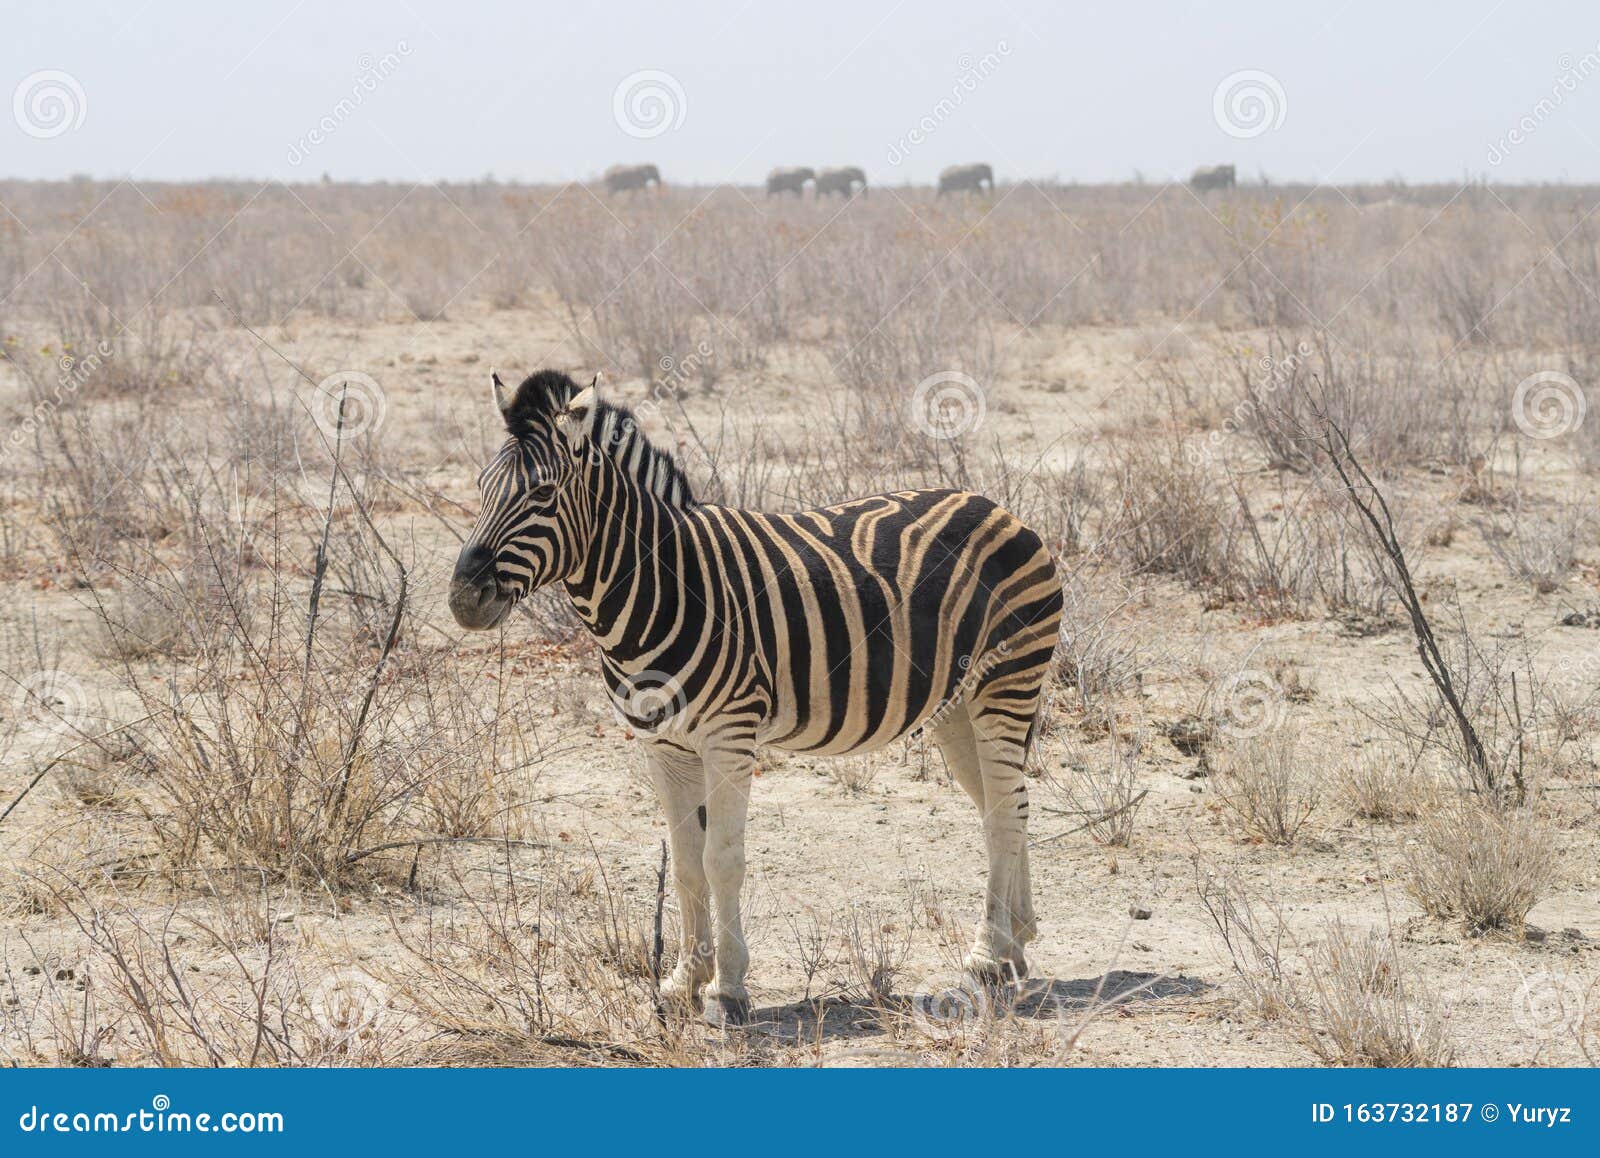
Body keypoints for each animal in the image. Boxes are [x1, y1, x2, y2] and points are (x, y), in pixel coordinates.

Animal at [449, 369, 1063, 1024]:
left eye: (542, 494)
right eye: (482, 488)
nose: (462, 599)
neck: (661, 586)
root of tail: (996, 506)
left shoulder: (729, 737)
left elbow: (721, 860)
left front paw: (728, 990)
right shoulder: (664, 747)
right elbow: (685, 863)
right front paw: (683, 981)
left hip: (1006, 682)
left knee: (1004, 812)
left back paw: (984, 960)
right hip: (954, 706)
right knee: (1006, 804)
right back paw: (1015, 945)